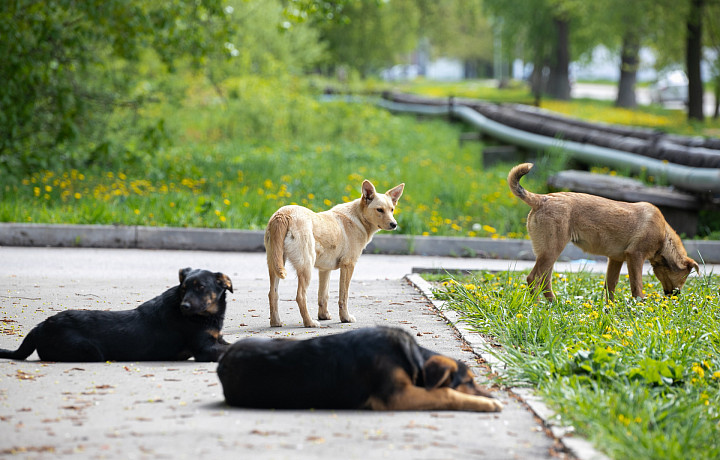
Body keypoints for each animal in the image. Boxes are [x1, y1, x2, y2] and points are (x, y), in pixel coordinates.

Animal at [0, 266, 232, 362]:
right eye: (184, 289)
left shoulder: (217, 339)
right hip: (90, 351)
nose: (185, 306)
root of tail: (40, 326)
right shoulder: (204, 349)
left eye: (201, 287)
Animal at [217, 328, 504, 414]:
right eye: (468, 381)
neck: (412, 358)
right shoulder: (396, 397)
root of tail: (222, 361)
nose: (494, 396)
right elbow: (446, 394)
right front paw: (487, 404)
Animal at [262, 180, 402, 328]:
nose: (394, 224)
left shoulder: (324, 270)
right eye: (379, 210)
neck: (358, 217)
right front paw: (345, 318)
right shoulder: (348, 265)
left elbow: (323, 295)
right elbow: (343, 296)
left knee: (272, 294)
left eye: (392, 209)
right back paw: (309, 322)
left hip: (275, 265)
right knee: (300, 296)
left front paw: (324, 316)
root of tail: (283, 214)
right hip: (306, 267)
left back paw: (276, 322)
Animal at [506, 163, 696, 302]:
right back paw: (537, 304)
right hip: (551, 250)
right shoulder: (635, 256)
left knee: (545, 280)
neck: (664, 236)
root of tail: (542, 199)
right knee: (533, 278)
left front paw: (610, 306)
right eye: (685, 277)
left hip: (549, 253)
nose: (676, 296)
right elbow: (637, 284)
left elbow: (611, 285)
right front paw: (639, 303)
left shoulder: (616, 259)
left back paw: (553, 303)